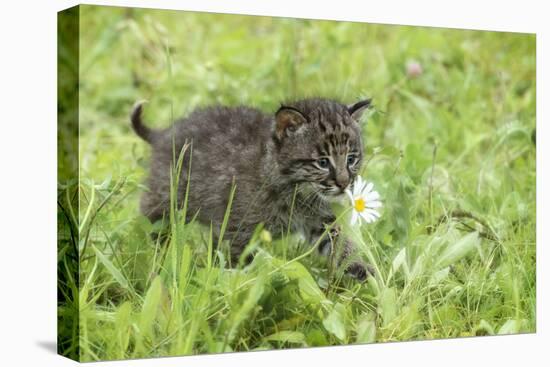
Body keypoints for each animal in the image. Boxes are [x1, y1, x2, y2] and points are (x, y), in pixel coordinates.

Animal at [133, 97, 374, 278]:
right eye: (323, 162)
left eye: (351, 159)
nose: (344, 184)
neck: (297, 192)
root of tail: (165, 132)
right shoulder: (237, 229)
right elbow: (238, 262)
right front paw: (236, 286)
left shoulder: (322, 220)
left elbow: (341, 242)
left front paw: (360, 267)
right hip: (168, 196)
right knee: (150, 212)